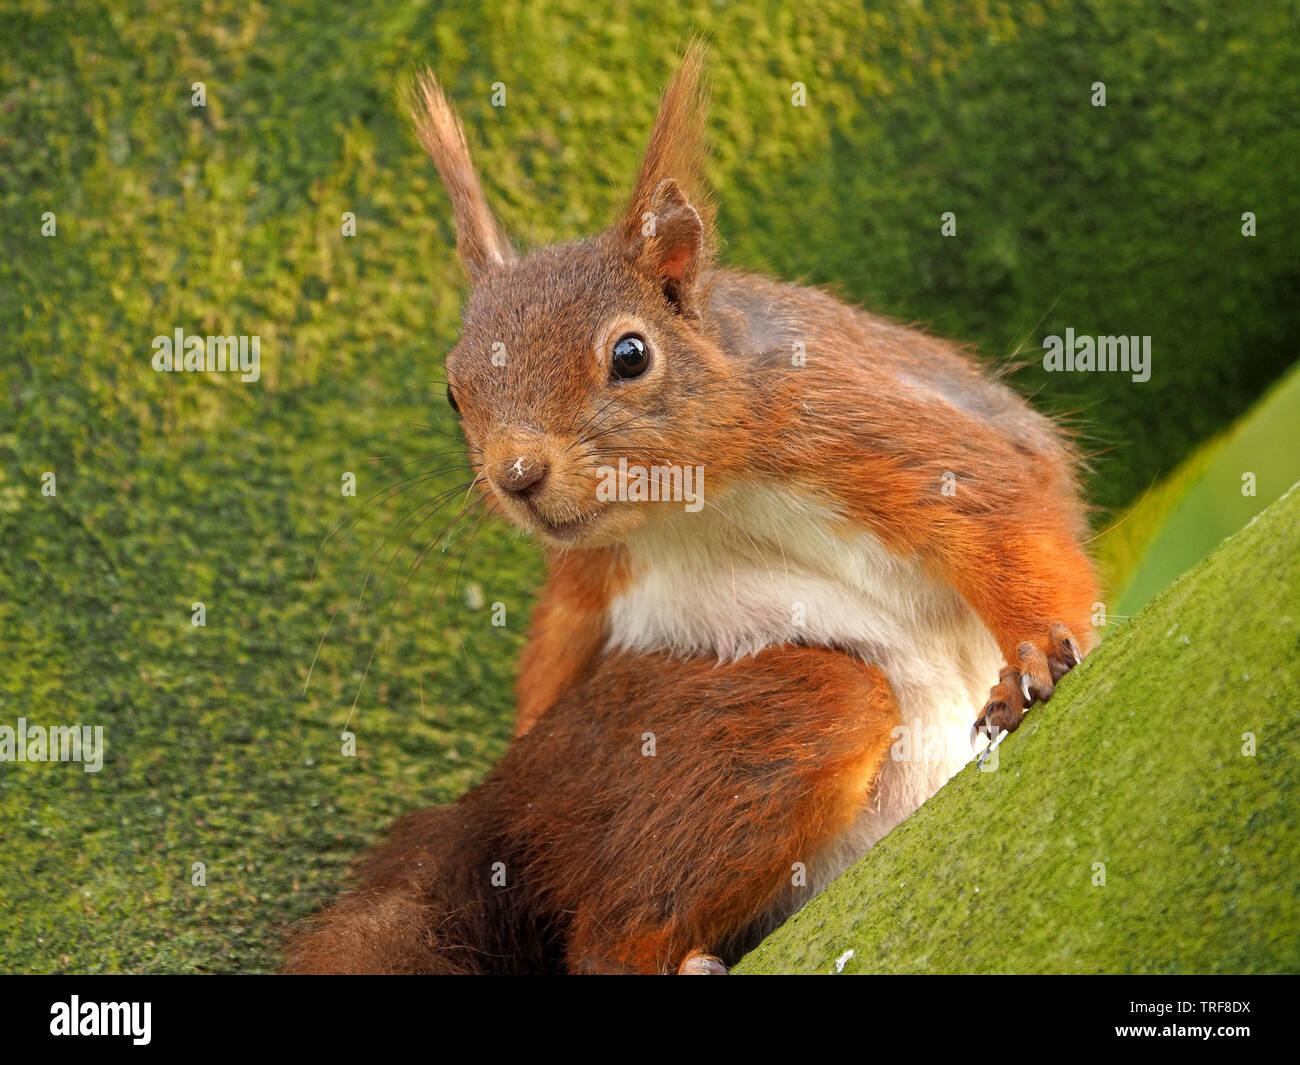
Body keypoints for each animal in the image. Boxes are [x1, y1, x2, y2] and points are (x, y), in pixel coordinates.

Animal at [284, 43, 1097, 972]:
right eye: (453, 392)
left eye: (631, 354)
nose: (517, 474)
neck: (691, 506)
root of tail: (498, 810)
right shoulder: (588, 569)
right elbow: (553, 643)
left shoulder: (848, 425)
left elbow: (999, 507)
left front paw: (1033, 654)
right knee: (608, 927)